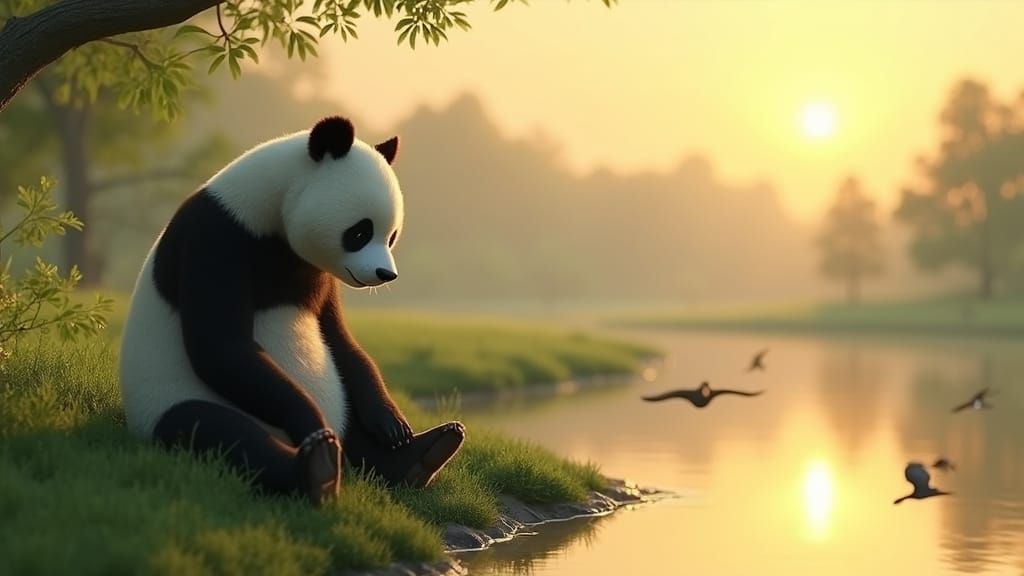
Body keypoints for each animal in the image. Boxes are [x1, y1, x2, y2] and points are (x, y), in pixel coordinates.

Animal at [119, 116, 465, 506]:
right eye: (360, 232)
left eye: (391, 237)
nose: (384, 274)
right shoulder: (216, 238)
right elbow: (222, 348)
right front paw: (312, 424)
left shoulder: (317, 273)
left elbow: (340, 339)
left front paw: (390, 422)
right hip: (170, 399)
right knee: (220, 433)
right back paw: (318, 464)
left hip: (339, 399)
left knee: (352, 422)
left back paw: (423, 452)